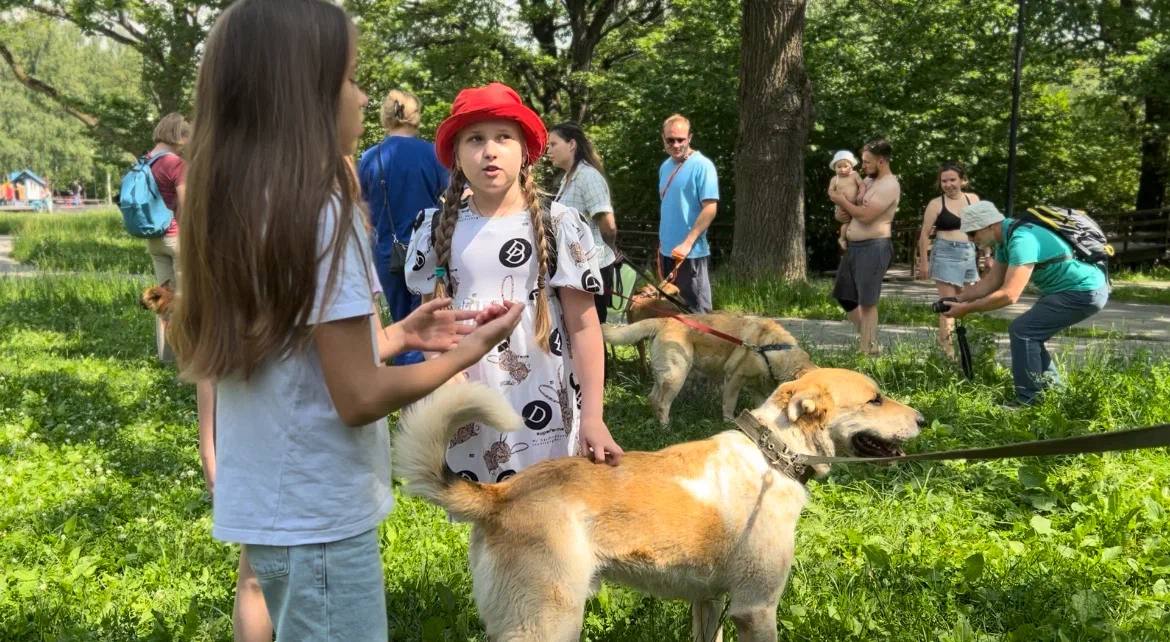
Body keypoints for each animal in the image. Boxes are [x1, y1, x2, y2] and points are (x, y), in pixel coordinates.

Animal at [393, 367, 921, 640]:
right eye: (875, 400)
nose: (922, 418)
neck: (774, 454)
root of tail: (500, 494)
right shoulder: (756, 607)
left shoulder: (709, 602)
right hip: (548, 623)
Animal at [603, 313, 814, 423]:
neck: (773, 349)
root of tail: (665, 319)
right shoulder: (734, 378)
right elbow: (729, 404)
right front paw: (729, 421)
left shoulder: (757, 387)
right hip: (676, 375)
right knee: (661, 401)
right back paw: (666, 427)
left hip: (664, 375)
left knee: (652, 397)